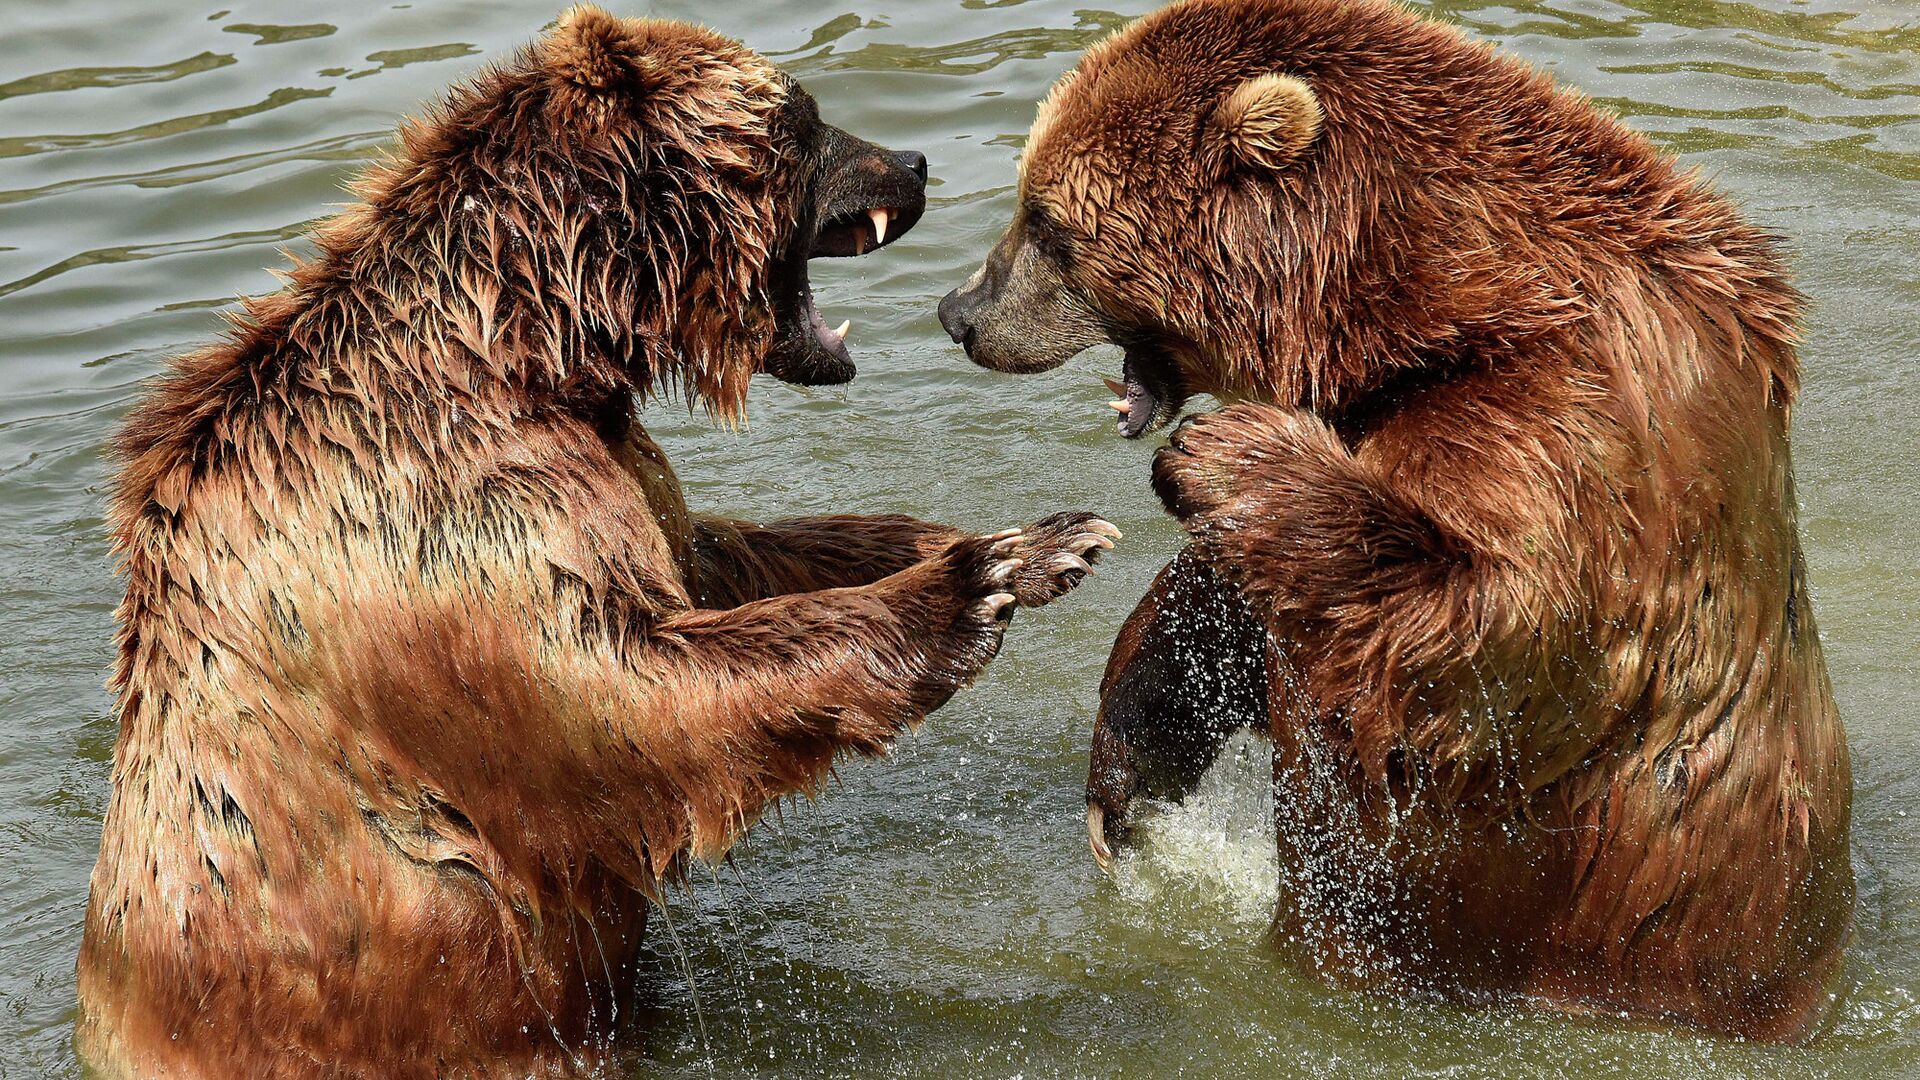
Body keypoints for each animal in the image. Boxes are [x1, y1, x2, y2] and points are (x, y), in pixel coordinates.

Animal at [78, 10, 1121, 1076]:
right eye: (802, 117)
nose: (911, 163)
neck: (535, 348)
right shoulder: (440, 519)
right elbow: (624, 688)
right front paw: (989, 574)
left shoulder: (614, 464)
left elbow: (709, 568)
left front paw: (999, 535)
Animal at [936, 0, 1850, 1045]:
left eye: (1045, 221)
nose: (960, 312)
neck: (1426, 311)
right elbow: (1233, 609)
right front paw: (1124, 782)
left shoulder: (1565, 424)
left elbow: (1474, 635)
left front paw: (1226, 452)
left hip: (1679, 927)